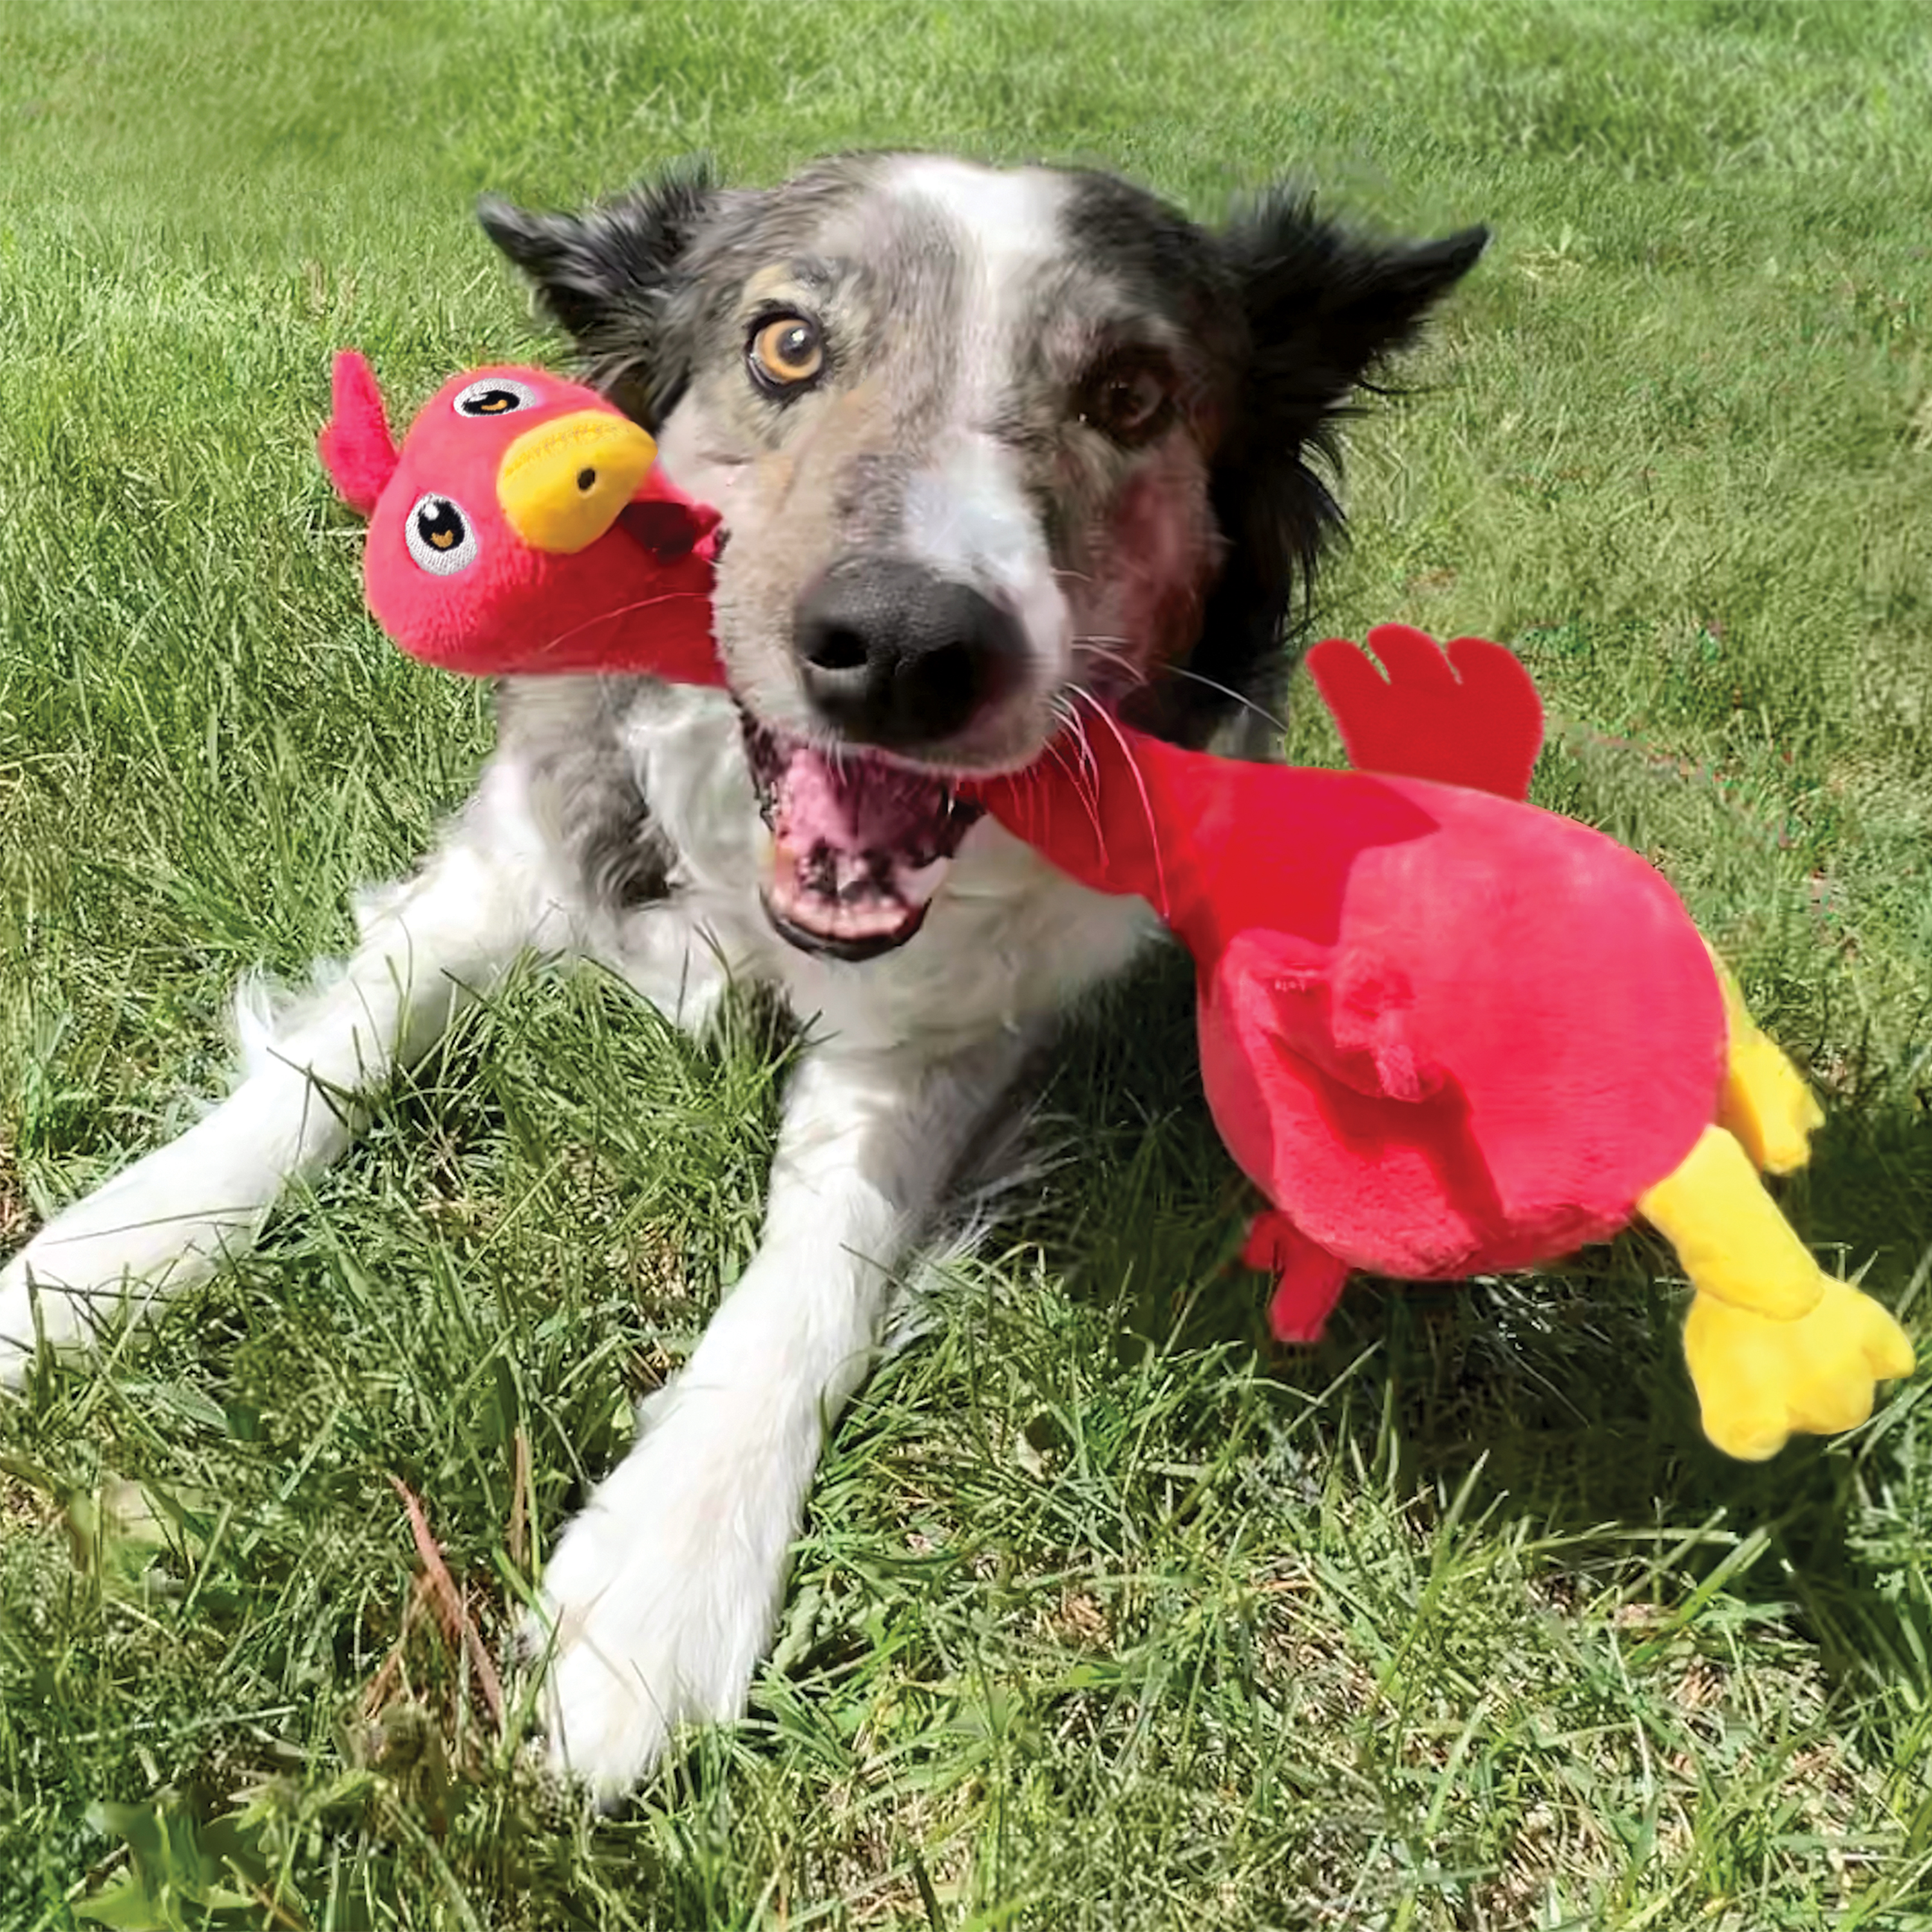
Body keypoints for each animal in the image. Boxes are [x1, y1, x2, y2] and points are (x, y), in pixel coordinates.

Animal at [0, 151, 1484, 1793]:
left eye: (1130, 392)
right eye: (785, 345)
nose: (900, 648)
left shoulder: (950, 1034)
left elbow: (817, 1259)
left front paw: (660, 1571)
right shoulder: (518, 849)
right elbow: (330, 1056)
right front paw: (98, 1258)